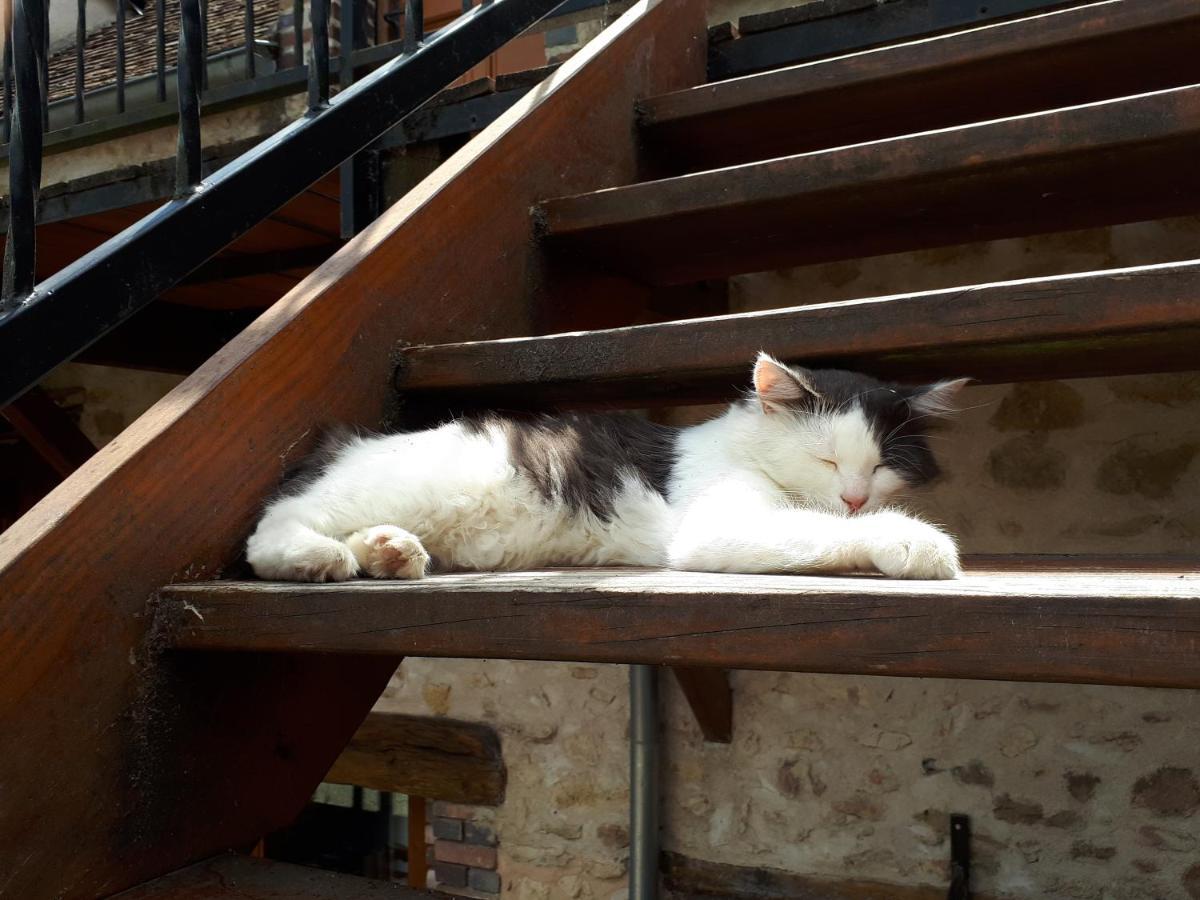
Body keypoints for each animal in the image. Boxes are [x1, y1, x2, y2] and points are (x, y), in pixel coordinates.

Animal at [248, 355, 969, 580]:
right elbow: (820, 531)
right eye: (826, 459)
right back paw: (319, 558)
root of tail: (348, 441)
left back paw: (390, 553)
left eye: (880, 468)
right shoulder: (715, 527)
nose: (854, 498)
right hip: (389, 490)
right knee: (271, 529)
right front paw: (915, 541)